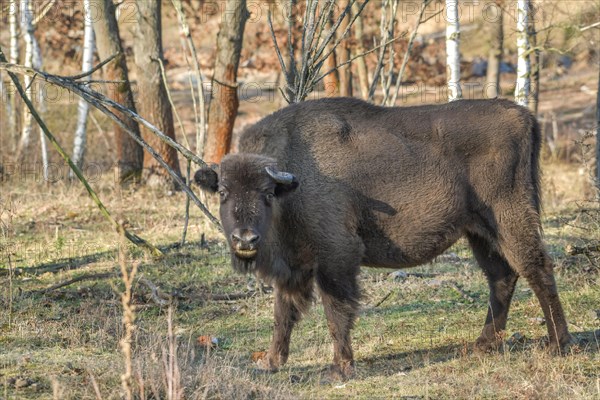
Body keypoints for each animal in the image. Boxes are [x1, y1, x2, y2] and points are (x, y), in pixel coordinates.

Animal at [196, 97, 572, 382]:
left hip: (509, 217)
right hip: (479, 231)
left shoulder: (336, 256)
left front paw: (340, 369)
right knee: (501, 277)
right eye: (224, 192)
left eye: (266, 193)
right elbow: (282, 314)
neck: (292, 180)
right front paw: (270, 362)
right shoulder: (294, 267)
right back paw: (484, 345)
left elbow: (336, 311)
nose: (245, 239)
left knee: (536, 267)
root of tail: (523, 115)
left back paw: (558, 345)